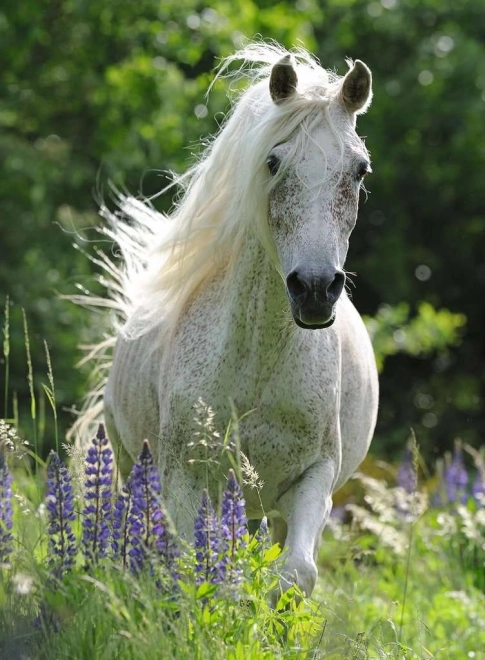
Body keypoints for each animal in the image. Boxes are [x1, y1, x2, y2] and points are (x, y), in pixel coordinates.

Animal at [87, 42, 378, 597]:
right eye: (273, 161)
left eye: (359, 170)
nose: (314, 290)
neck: (258, 363)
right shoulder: (184, 480)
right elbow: (196, 572)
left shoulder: (313, 479)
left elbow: (295, 573)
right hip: (132, 465)